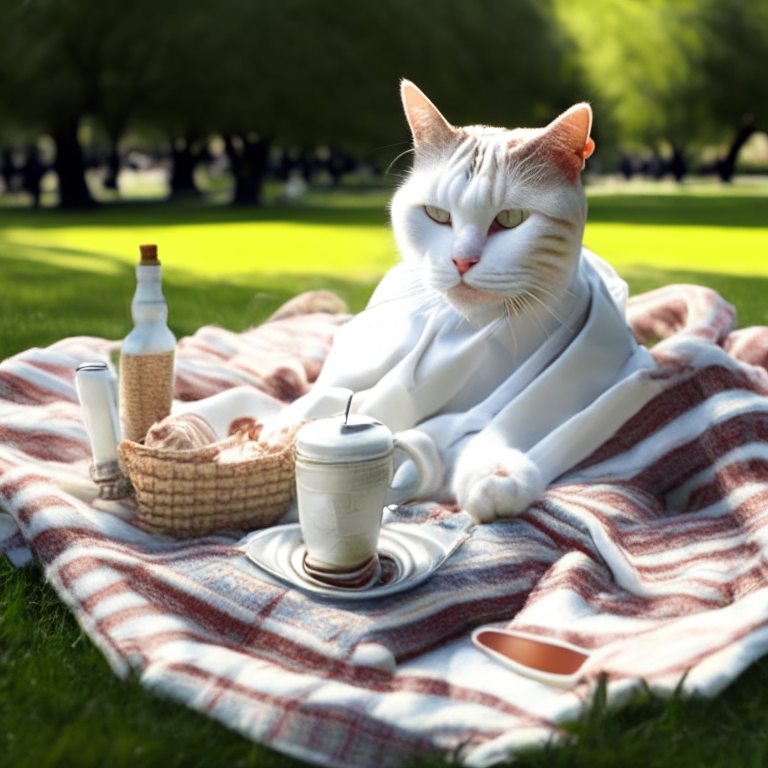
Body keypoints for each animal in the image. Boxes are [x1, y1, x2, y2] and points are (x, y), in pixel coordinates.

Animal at [198, 82, 656, 520]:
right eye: (438, 215)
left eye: (510, 220)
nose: (462, 260)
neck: (476, 332)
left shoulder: (614, 375)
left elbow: (516, 422)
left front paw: (496, 474)